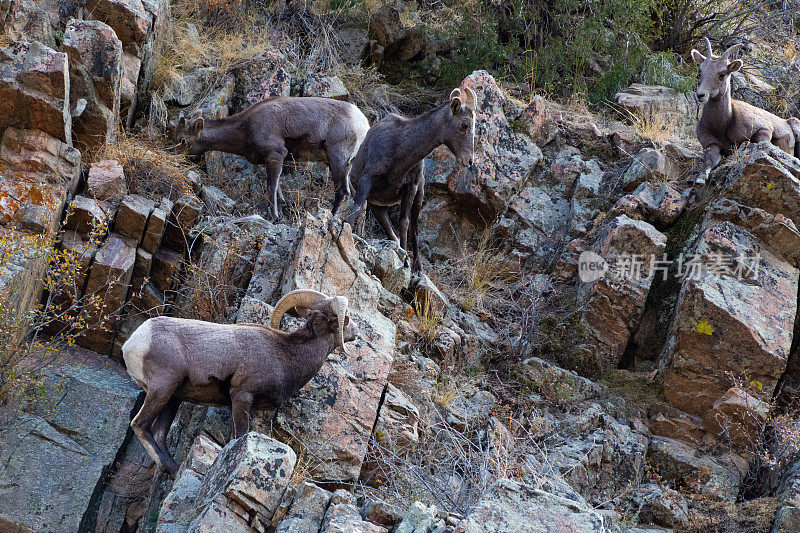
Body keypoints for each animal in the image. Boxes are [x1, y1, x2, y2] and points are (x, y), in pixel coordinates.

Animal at [121, 288, 356, 472]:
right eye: (345, 319)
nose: (355, 332)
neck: (287, 354)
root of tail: (133, 342)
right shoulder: (242, 397)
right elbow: (240, 435)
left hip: (174, 398)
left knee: (159, 433)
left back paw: (173, 469)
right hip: (163, 389)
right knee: (140, 424)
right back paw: (168, 468)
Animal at [173, 95, 370, 218]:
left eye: (182, 140)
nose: (173, 157)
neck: (244, 128)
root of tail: (362, 123)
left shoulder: (275, 154)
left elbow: (271, 187)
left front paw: (274, 217)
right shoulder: (274, 159)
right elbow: (277, 190)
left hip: (337, 159)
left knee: (343, 193)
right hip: (347, 166)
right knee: (356, 198)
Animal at [344, 88, 476, 272]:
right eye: (464, 125)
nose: (469, 160)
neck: (399, 147)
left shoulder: (411, 186)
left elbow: (404, 222)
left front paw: (405, 260)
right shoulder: (367, 179)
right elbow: (356, 208)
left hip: (417, 198)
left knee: (413, 228)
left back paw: (417, 266)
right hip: (378, 206)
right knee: (391, 232)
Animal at [688, 36, 800, 184]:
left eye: (722, 74)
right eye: (701, 70)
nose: (700, 95)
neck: (723, 126)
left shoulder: (764, 130)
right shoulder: (712, 144)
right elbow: (709, 161)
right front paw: (700, 178)